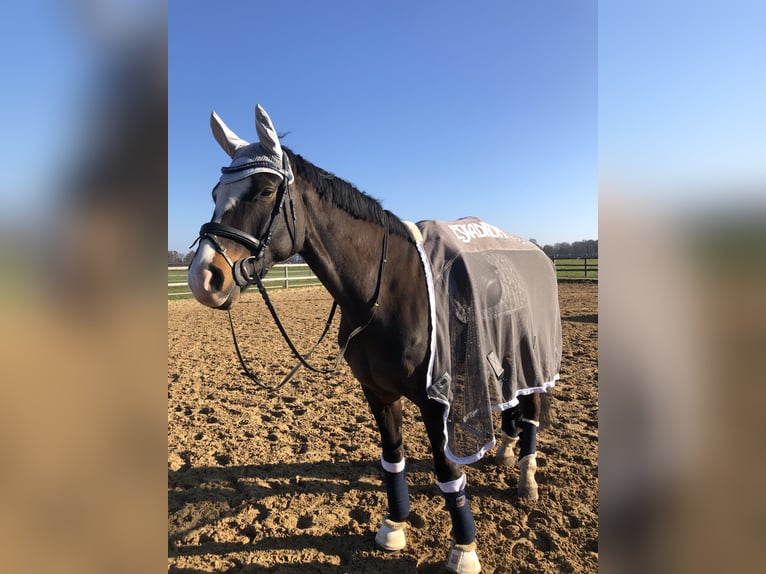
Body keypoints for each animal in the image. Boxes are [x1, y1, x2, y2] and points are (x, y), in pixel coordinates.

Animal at [187, 105, 561, 574]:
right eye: (216, 191)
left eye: (265, 191)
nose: (203, 277)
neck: (385, 292)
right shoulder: (377, 391)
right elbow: (392, 457)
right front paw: (394, 527)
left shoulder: (434, 400)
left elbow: (446, 470)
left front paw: (464, 549)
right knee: (511, 403)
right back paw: (506, 451)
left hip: (531, 355)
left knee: (531, 410)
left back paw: (527, 476)